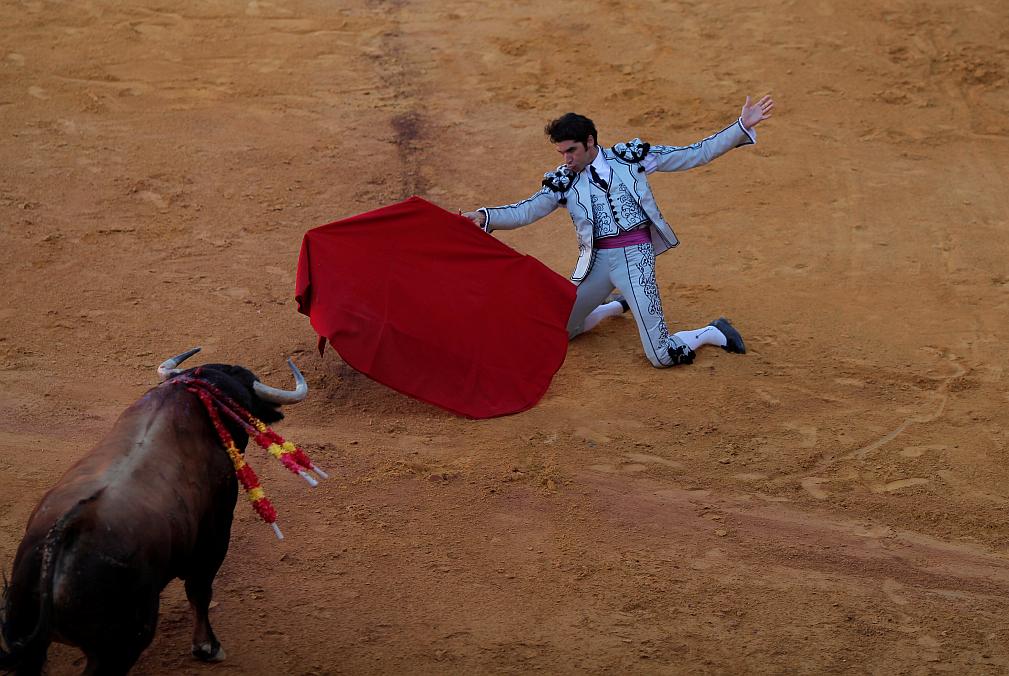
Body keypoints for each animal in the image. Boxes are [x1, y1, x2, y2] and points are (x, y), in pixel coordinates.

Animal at [0, 349, 308, 676]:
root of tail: (67, 533)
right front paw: (207, 647)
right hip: (119, 648)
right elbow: (200, 591)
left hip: (27, 636)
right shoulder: (215, 537)